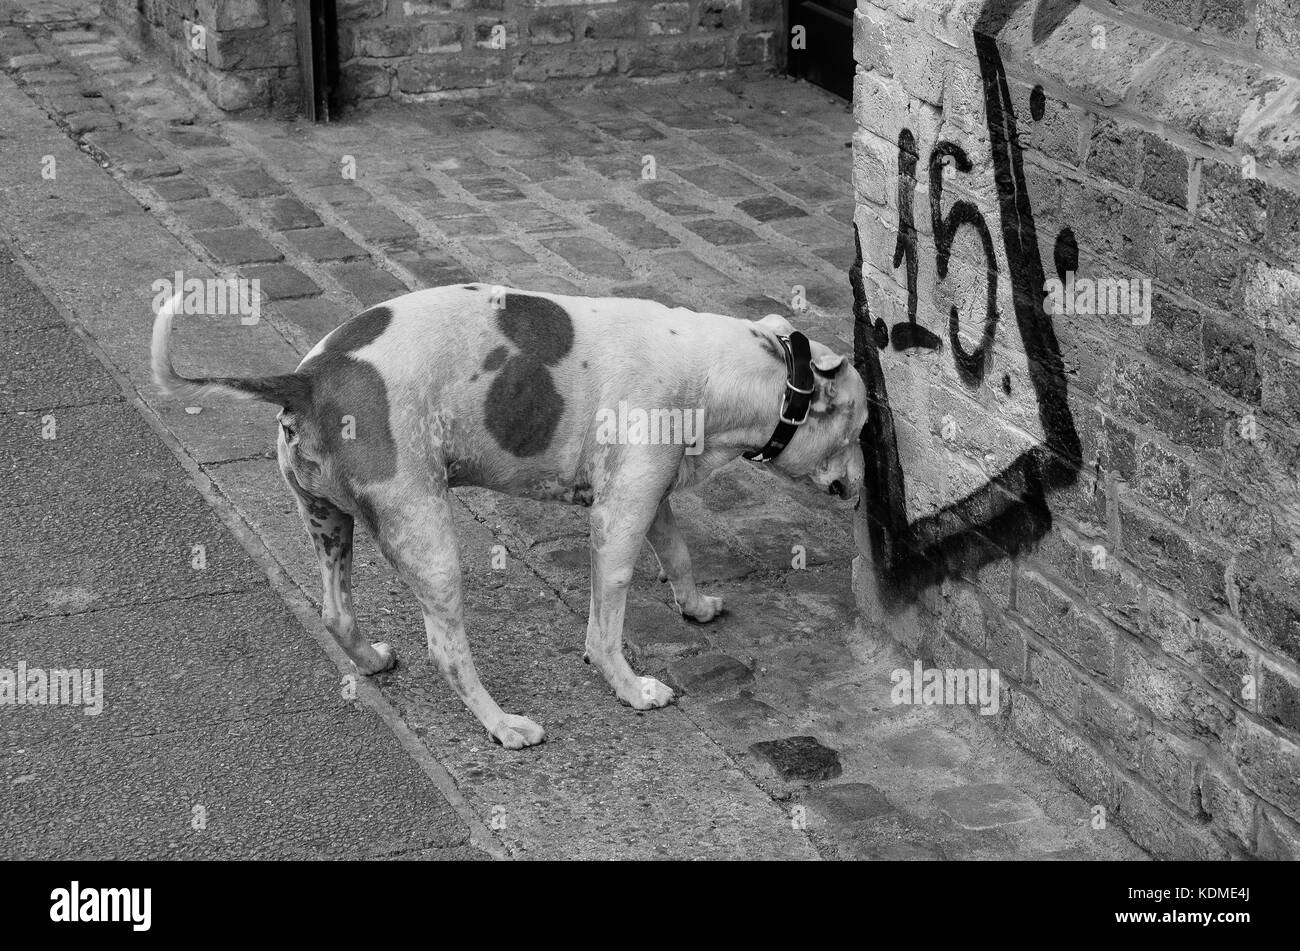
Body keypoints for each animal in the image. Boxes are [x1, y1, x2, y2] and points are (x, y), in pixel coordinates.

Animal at [154, 285, 863, 748]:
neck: (709, 371)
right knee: (446, 649)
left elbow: (680, 554)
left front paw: (695, 606)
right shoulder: (618, 523)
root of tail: (311, 378)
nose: (861, 491)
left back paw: (374, 661)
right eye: (858, 429)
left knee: (337, 611)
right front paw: (631, 690)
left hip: (330, 523)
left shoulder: (647, 499)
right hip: (431, 542)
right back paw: (502, 724)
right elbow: (605, 630)